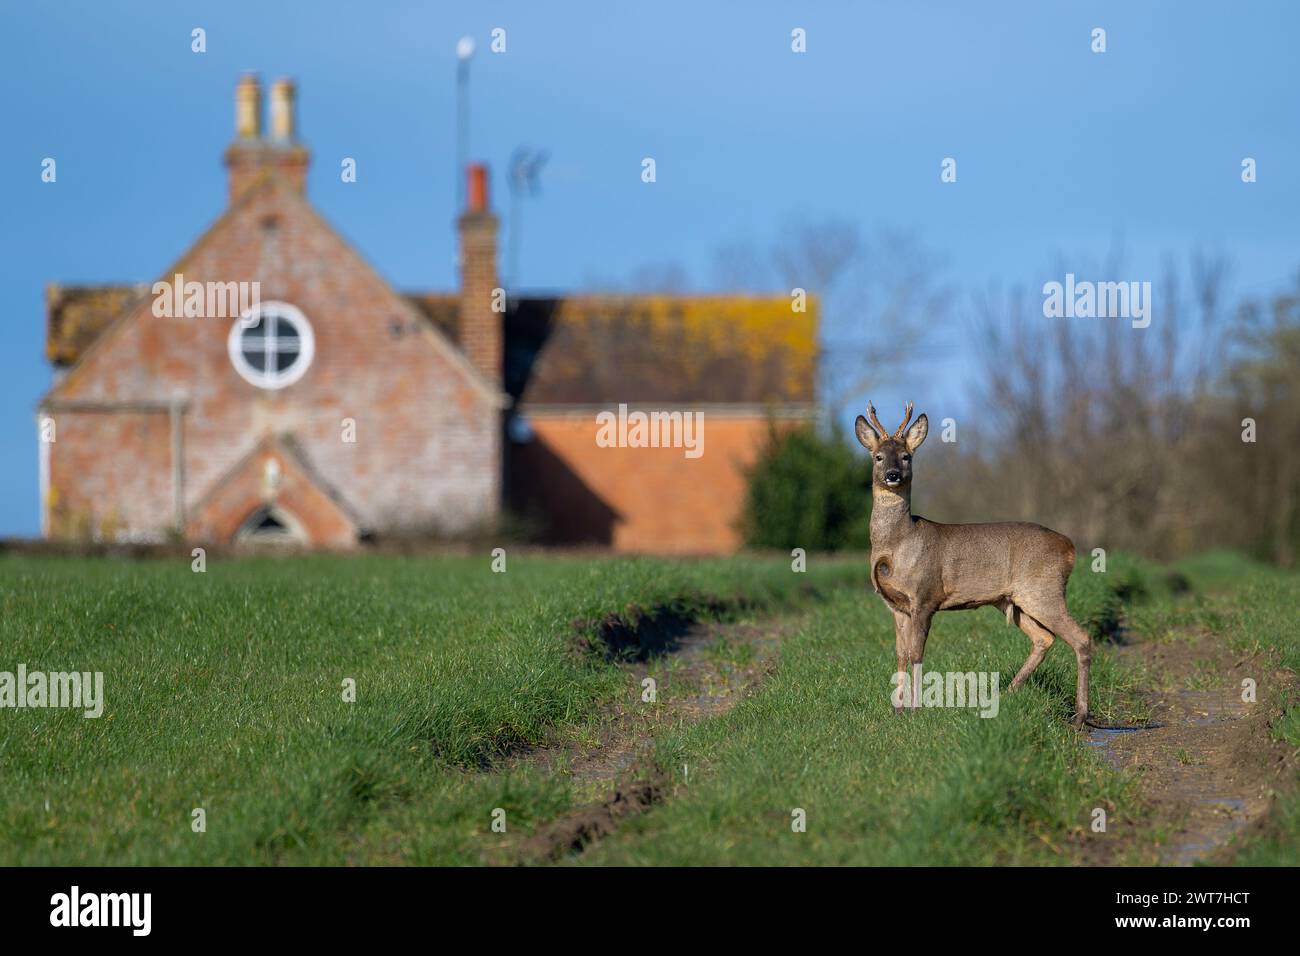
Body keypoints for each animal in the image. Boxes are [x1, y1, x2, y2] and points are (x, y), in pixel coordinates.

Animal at [857, 403, 1092, 723]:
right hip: (1013, 600)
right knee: (1044, 638)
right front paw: (898, 710)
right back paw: (1007, 693)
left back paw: (1080, 716)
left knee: (1081, 637)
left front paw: (916, 710)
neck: (898, 541)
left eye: (906, 456)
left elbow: (917, 653)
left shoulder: (925, 596)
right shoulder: (895, 605)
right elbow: (901, 653)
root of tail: (1069, 547)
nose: (893, 475)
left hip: (1044, 589)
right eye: (878, 456)